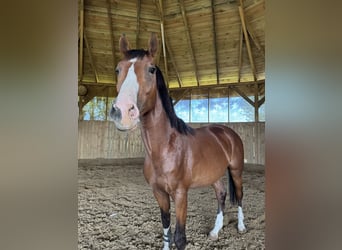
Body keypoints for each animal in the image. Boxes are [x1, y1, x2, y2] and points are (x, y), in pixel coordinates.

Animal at [109, 33, 246, 250]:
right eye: (118, 69)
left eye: (151, 69)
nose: (122, 111)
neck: (165, 148)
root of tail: (226, 132)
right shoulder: (159, 193)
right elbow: (166, 226)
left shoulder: (181, 194)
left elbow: (180, 237)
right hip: (214, 174)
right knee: (221, 194)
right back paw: (215, 231)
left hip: (236, 170)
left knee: (239, 195)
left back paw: (241, 227)